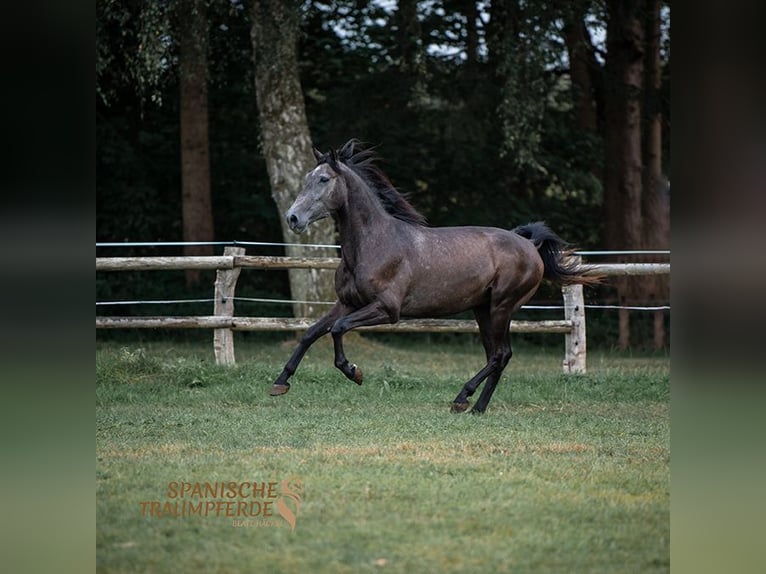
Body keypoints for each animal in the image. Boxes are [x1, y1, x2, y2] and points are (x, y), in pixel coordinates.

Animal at [270, 142, 600, 416]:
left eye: (324, 180)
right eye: (307, 178)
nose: (293, 218)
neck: (374, 244)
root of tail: (530, 245)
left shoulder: (387, 309)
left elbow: (337, 329)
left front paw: (354, 372)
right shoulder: (347, 303)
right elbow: (311, 332)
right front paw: (280, 382)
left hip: (501, 307)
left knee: (499, 355)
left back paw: (462, 398)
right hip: (483, 309)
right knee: (499, 355)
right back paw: (476, 408)